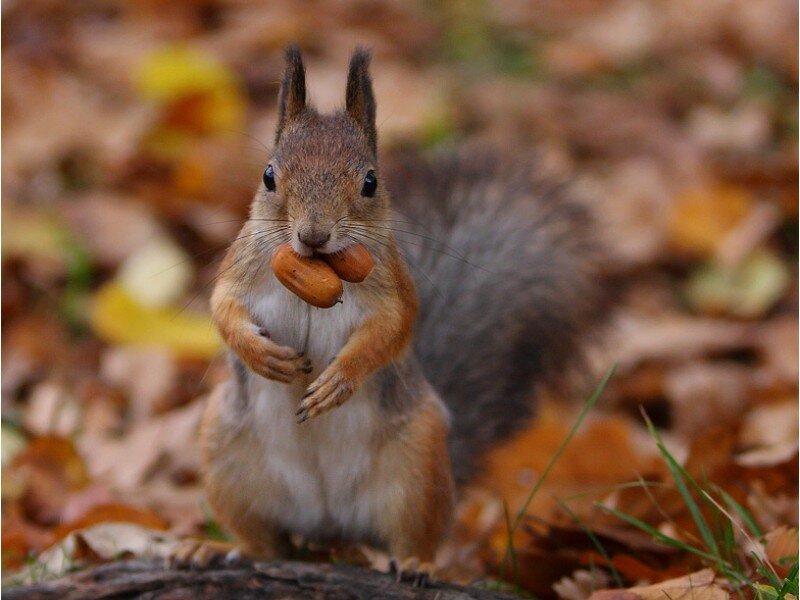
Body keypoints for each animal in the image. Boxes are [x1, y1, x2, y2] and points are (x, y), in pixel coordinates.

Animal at [172, 45, 611, 571]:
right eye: (269, 176)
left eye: (370, 182)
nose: (313, 235)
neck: (320, 271)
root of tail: (330, 525)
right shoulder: (241, 267)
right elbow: (222, 308)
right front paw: (263, 356)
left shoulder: (393, 285)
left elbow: (393, 328)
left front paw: (340, 380)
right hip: (227, 452)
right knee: (265, 544)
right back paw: (214, 548)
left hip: (417, 464)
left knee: (411, 537)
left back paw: (417, 564)